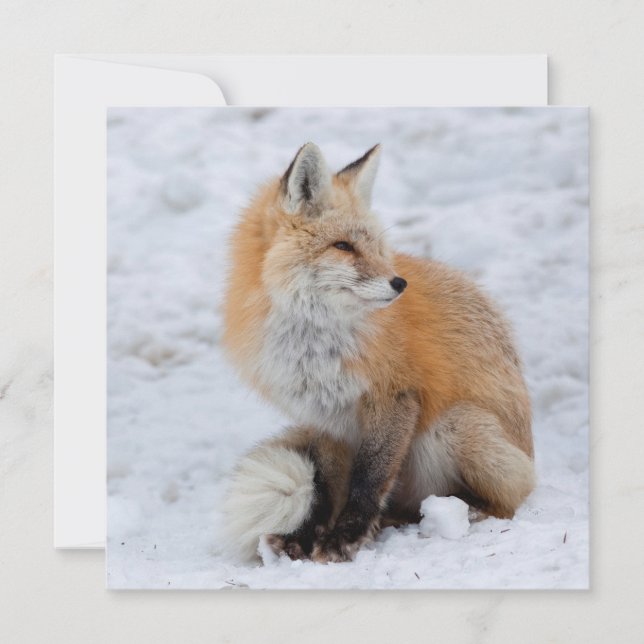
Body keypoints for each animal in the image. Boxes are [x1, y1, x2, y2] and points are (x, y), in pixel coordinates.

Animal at [221, 142, 535, 563]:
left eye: (377, 249)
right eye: (343, 246)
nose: (399, 283)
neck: (315, 345)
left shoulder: (395, 395)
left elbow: (369, 478)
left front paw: (345, 537)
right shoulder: (323, 417)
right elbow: (324, 488)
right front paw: (306, 537)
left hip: (458, 425)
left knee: (508, 503)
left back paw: (455, 513)